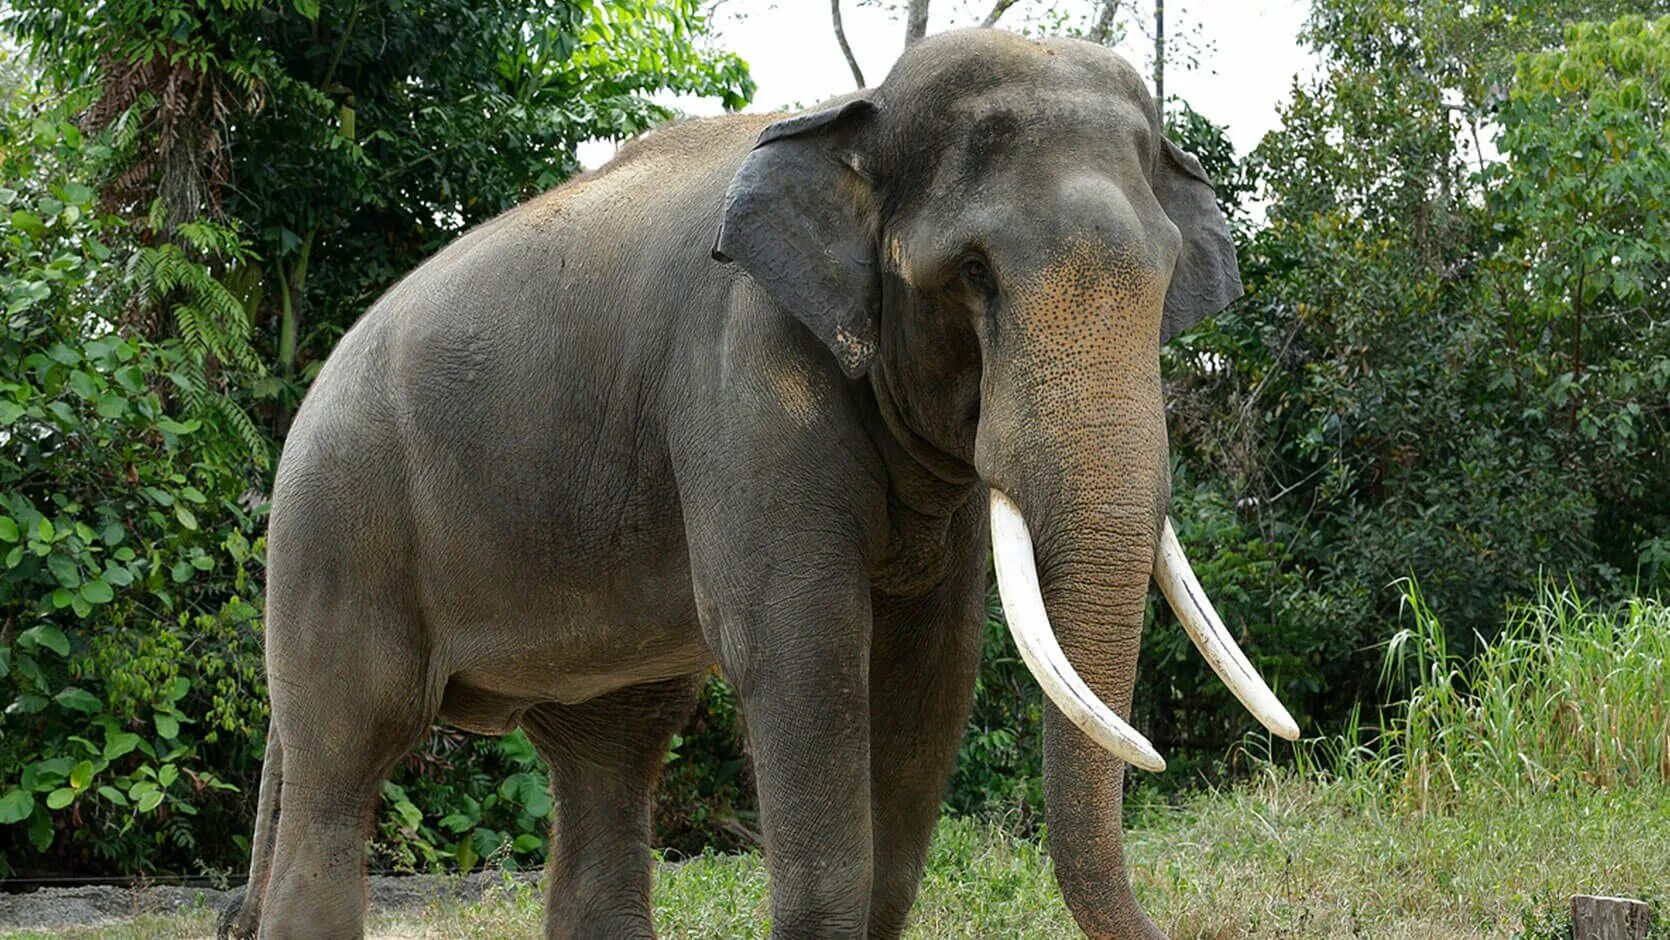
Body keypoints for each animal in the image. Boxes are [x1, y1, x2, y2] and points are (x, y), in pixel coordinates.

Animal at [222, 25, 1295, 934]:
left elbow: (930, 667)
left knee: (607, 766)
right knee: (343, 764)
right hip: (337, 524)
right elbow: (798, 646)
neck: (852, 112)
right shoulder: (742, 376)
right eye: (974, 274)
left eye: (1164, 281)